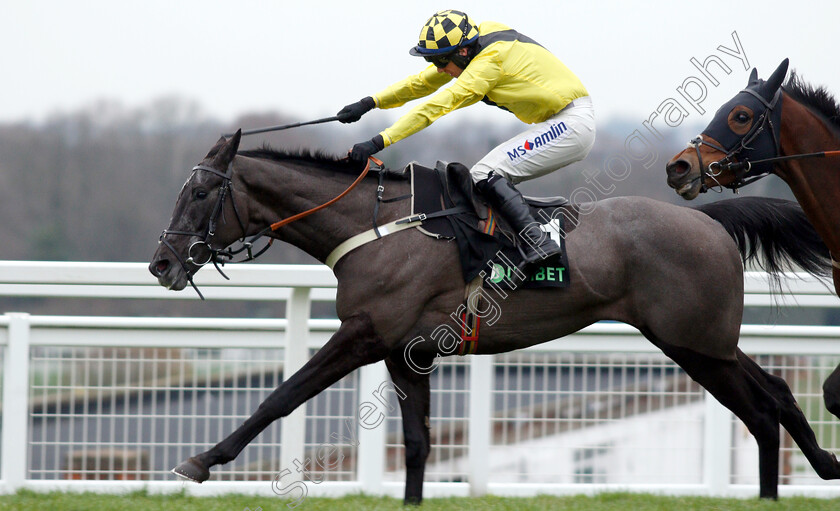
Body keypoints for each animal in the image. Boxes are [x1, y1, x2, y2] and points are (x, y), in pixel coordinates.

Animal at [151, 130, 840, 502]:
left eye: (202, 192)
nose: (161, 263)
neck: (376, 228)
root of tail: (710, 220)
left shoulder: (364, 335)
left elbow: (281, 396)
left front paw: (200, 461)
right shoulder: (408, 352)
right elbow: (419, 444)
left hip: (696, 342)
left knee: (765, 405)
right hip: (701, 341)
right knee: (773, 399)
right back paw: (812, 472)